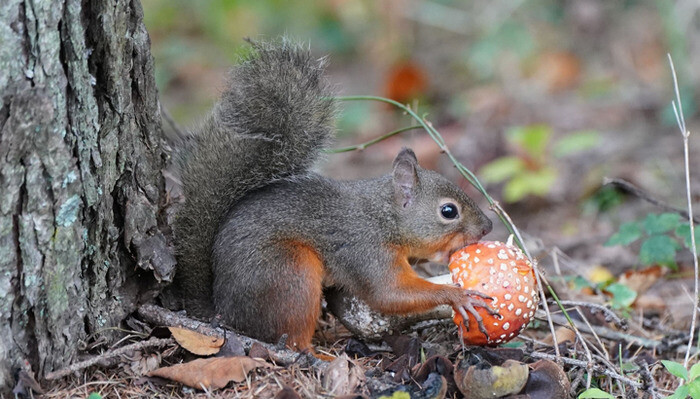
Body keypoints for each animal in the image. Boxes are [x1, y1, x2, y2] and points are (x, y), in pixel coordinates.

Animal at [172, 39, 494, 354]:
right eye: (449, 211)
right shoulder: (366, 249)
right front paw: (457, 296)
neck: (385, 217)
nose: (487, 227)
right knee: (292, 338)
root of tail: (223, 313)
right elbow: (388, 294)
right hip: (290, 274)